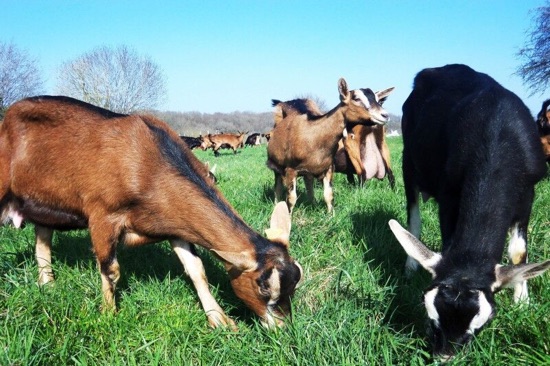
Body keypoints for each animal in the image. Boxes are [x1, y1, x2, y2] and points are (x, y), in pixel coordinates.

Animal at [0, 95, 304, 328]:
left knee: (42, 239)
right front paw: (108, 315)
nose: (283, 327)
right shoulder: (102, 217)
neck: (149, 166)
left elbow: (197, 270)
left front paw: (220, 320)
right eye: (264, 287)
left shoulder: (174, 225)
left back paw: (47, 285)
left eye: (295, 281)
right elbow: (110, 270)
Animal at [268, 78, 394, 213]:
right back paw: (276, 205)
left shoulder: (328, 168)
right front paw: (288, 216)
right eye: (356, 98)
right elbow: (291, 198)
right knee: (278, 188)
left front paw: (331, 215)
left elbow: (329, 195)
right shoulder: (291, 169)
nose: (385, 115)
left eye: (378, 99)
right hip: (278, 166)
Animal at [388, 65, 550, 360]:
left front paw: (522, 302)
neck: (498, 138)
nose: (445, 356)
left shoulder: (528, 195)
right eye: (430, 315)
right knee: (413, 216)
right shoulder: (450, 194)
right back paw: (410, 267)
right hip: (408, 163)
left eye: (485, 320)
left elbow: (518, 253)